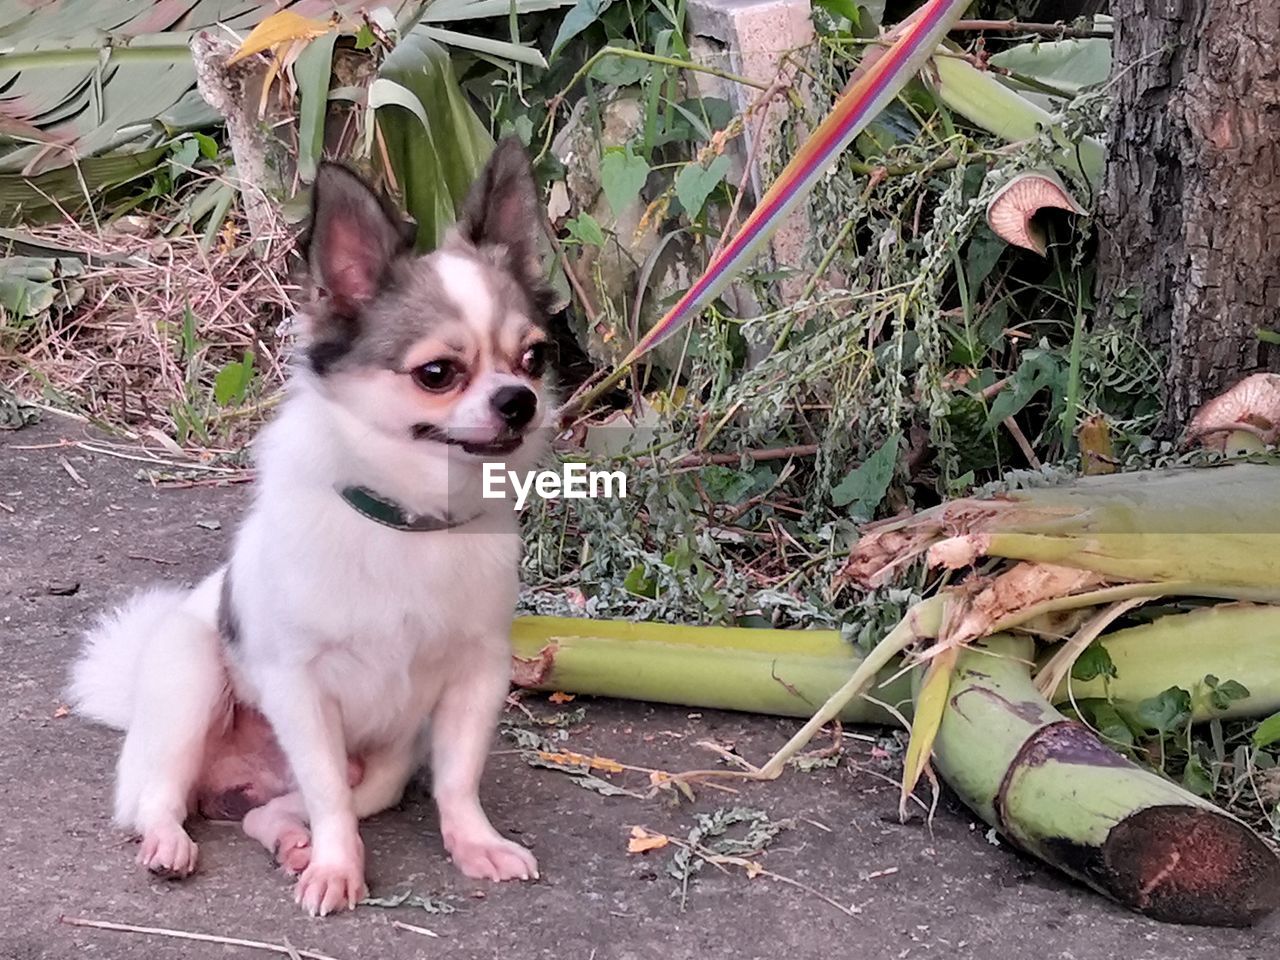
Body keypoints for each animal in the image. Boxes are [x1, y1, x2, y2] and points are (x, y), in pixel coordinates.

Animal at [67, 136, 552, 916]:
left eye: (535, 357)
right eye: (438, 373)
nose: (520, 400)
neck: (410, 521)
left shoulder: (476, 676)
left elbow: (457, 779)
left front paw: (473, 843)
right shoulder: (301, 689)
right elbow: (327, 793)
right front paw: (337, 869)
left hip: (381, 769)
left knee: (282, 810)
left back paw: (288, 839)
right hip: (191, 680)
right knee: (159, 799)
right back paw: (173, 843)